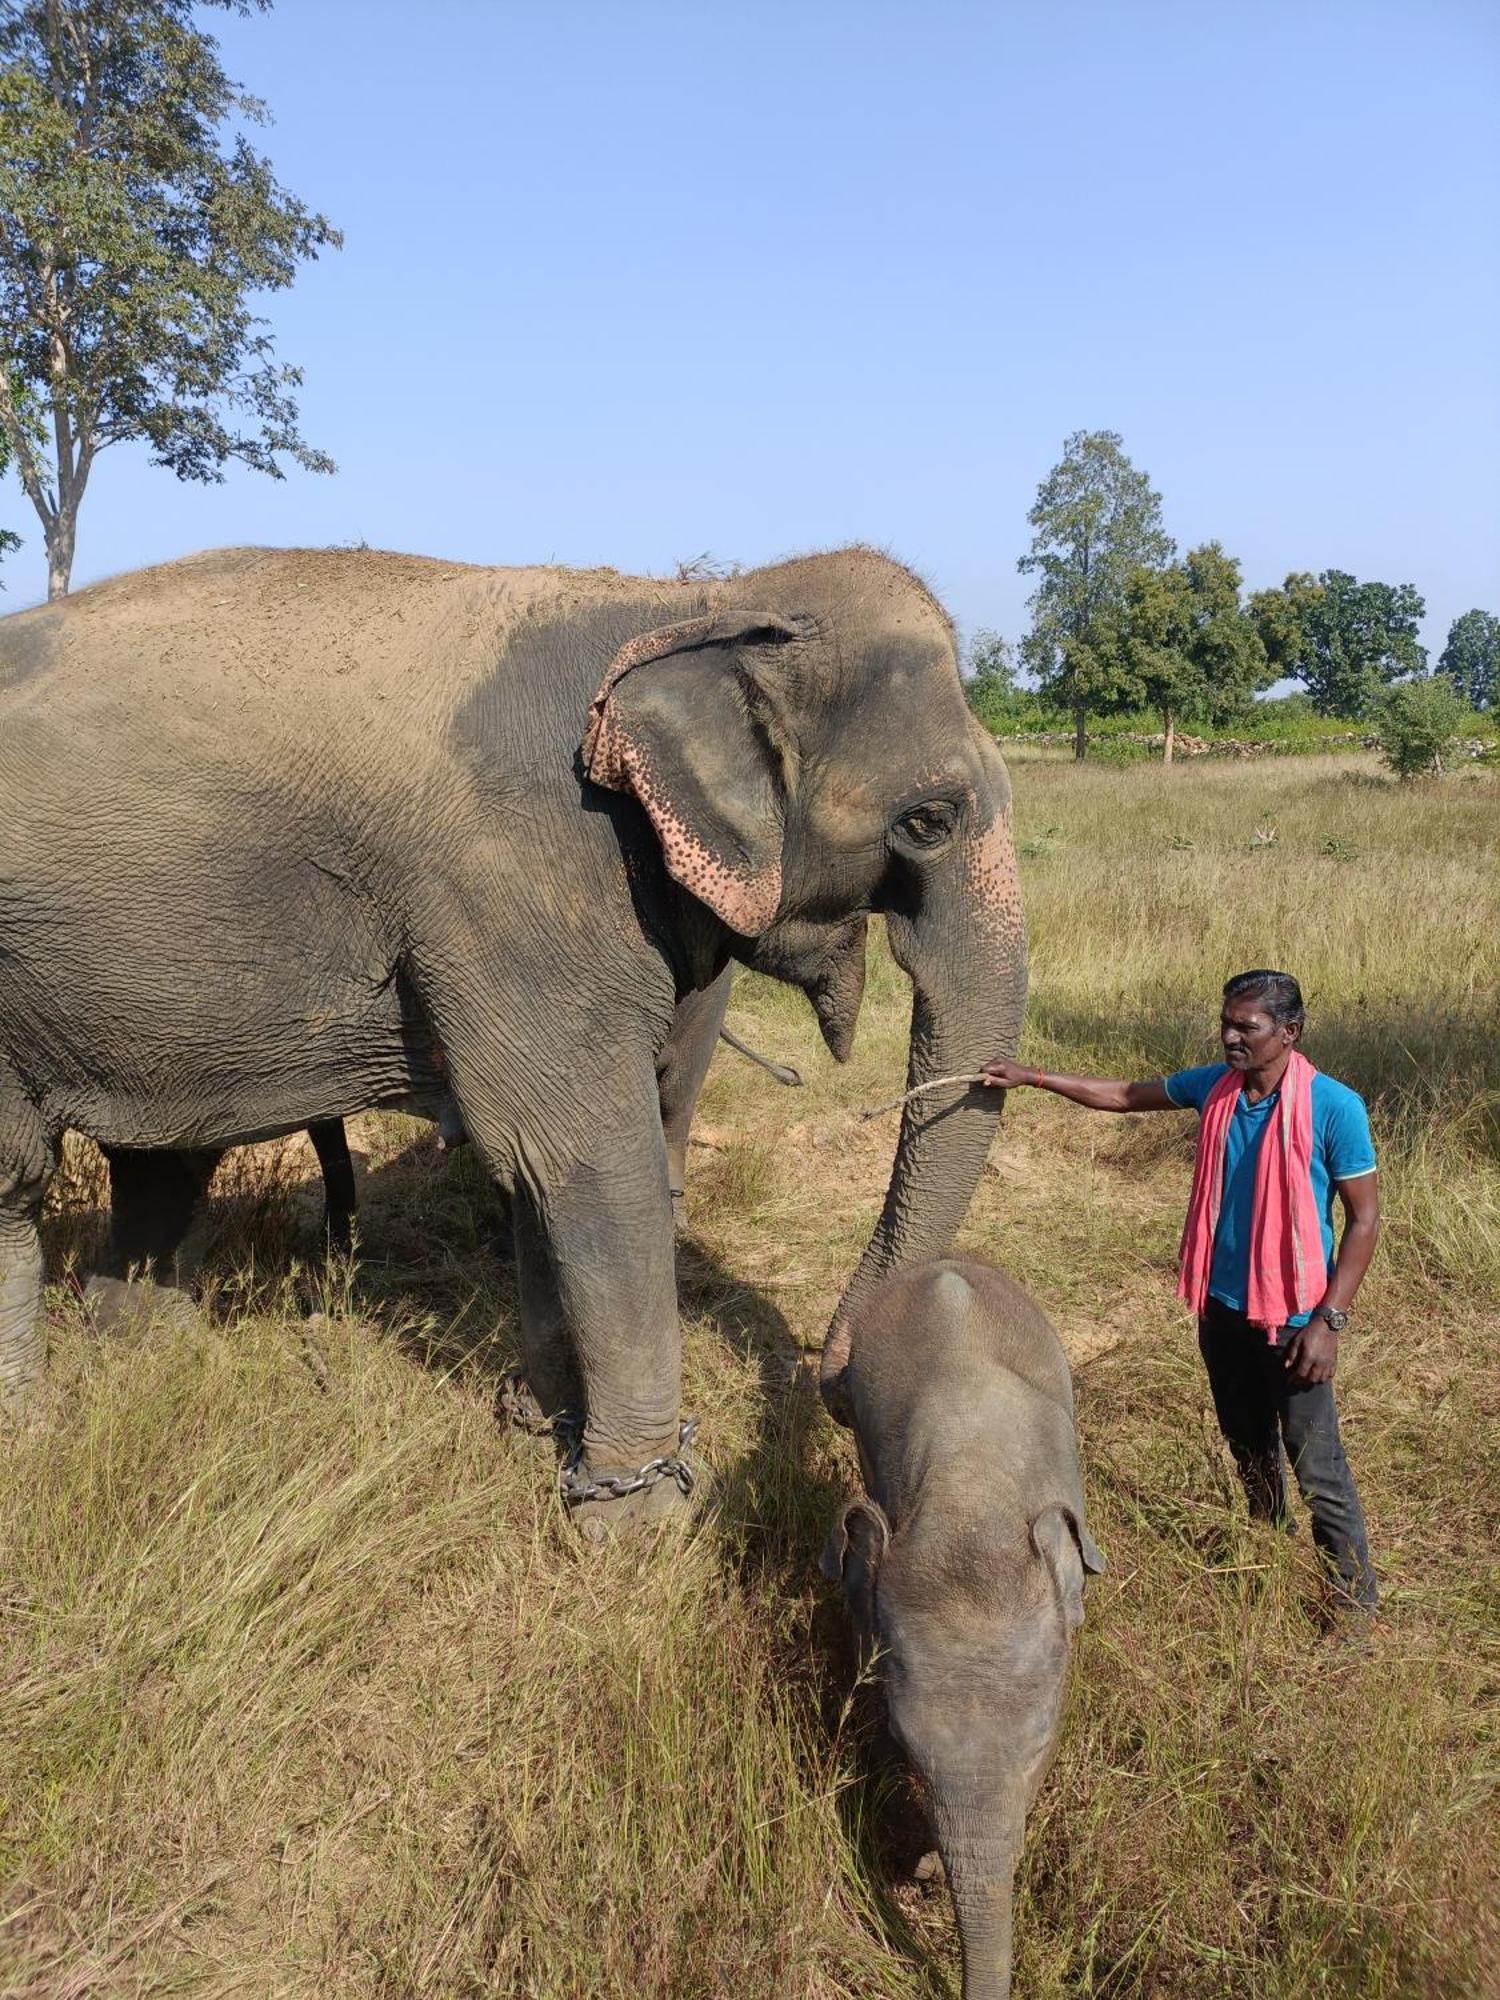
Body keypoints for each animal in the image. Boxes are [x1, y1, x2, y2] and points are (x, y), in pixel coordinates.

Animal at [0, 548, 1032, 1528]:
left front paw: (542, 1426)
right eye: (929, 821)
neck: (694, 605)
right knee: (17, 1184)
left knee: (160, 1159)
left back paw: (152, 1357)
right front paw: (639, 1519)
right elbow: (584, 1156)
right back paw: (36, 1425)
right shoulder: (521, 882)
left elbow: (542, 1170)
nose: (837, 1381)